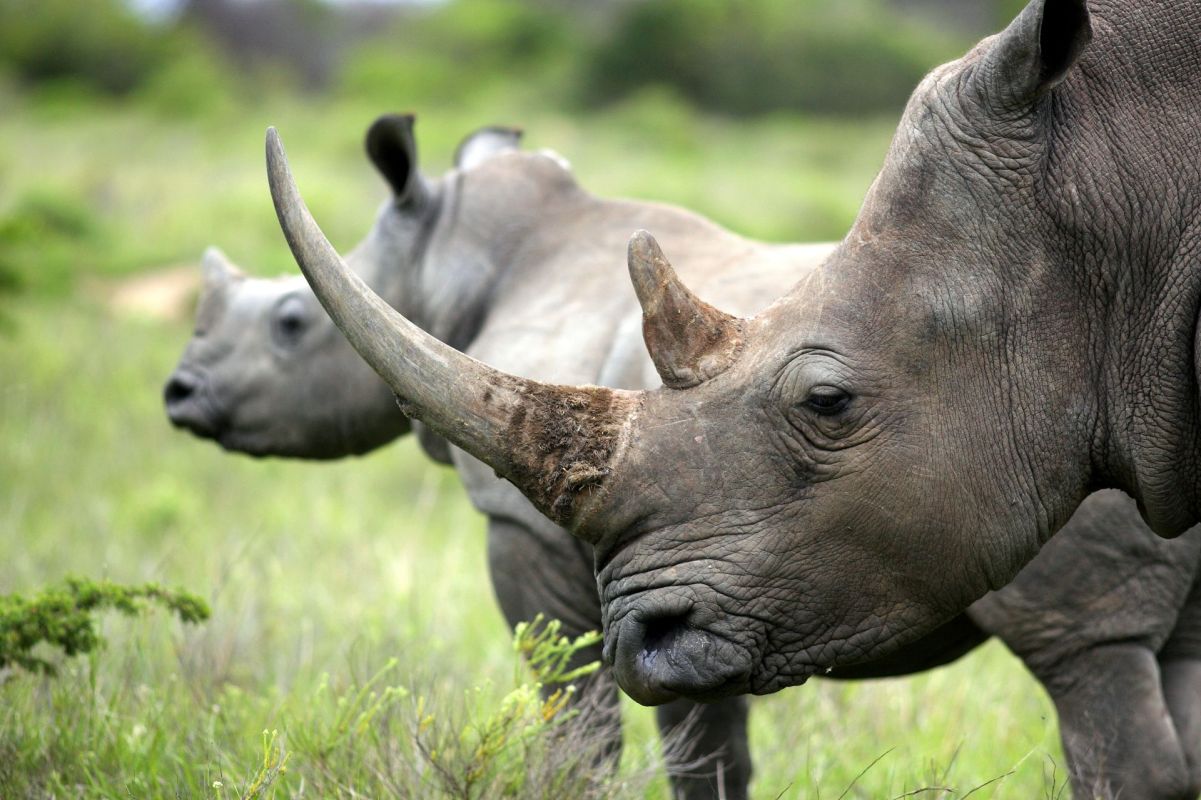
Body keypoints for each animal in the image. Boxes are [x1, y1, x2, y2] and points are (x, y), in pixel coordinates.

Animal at [268, 0, 1201, 796]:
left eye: (826, 401)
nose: (643, 637)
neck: (1126, 184)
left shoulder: (519, 537)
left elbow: (574, 705)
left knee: (1085, 652)